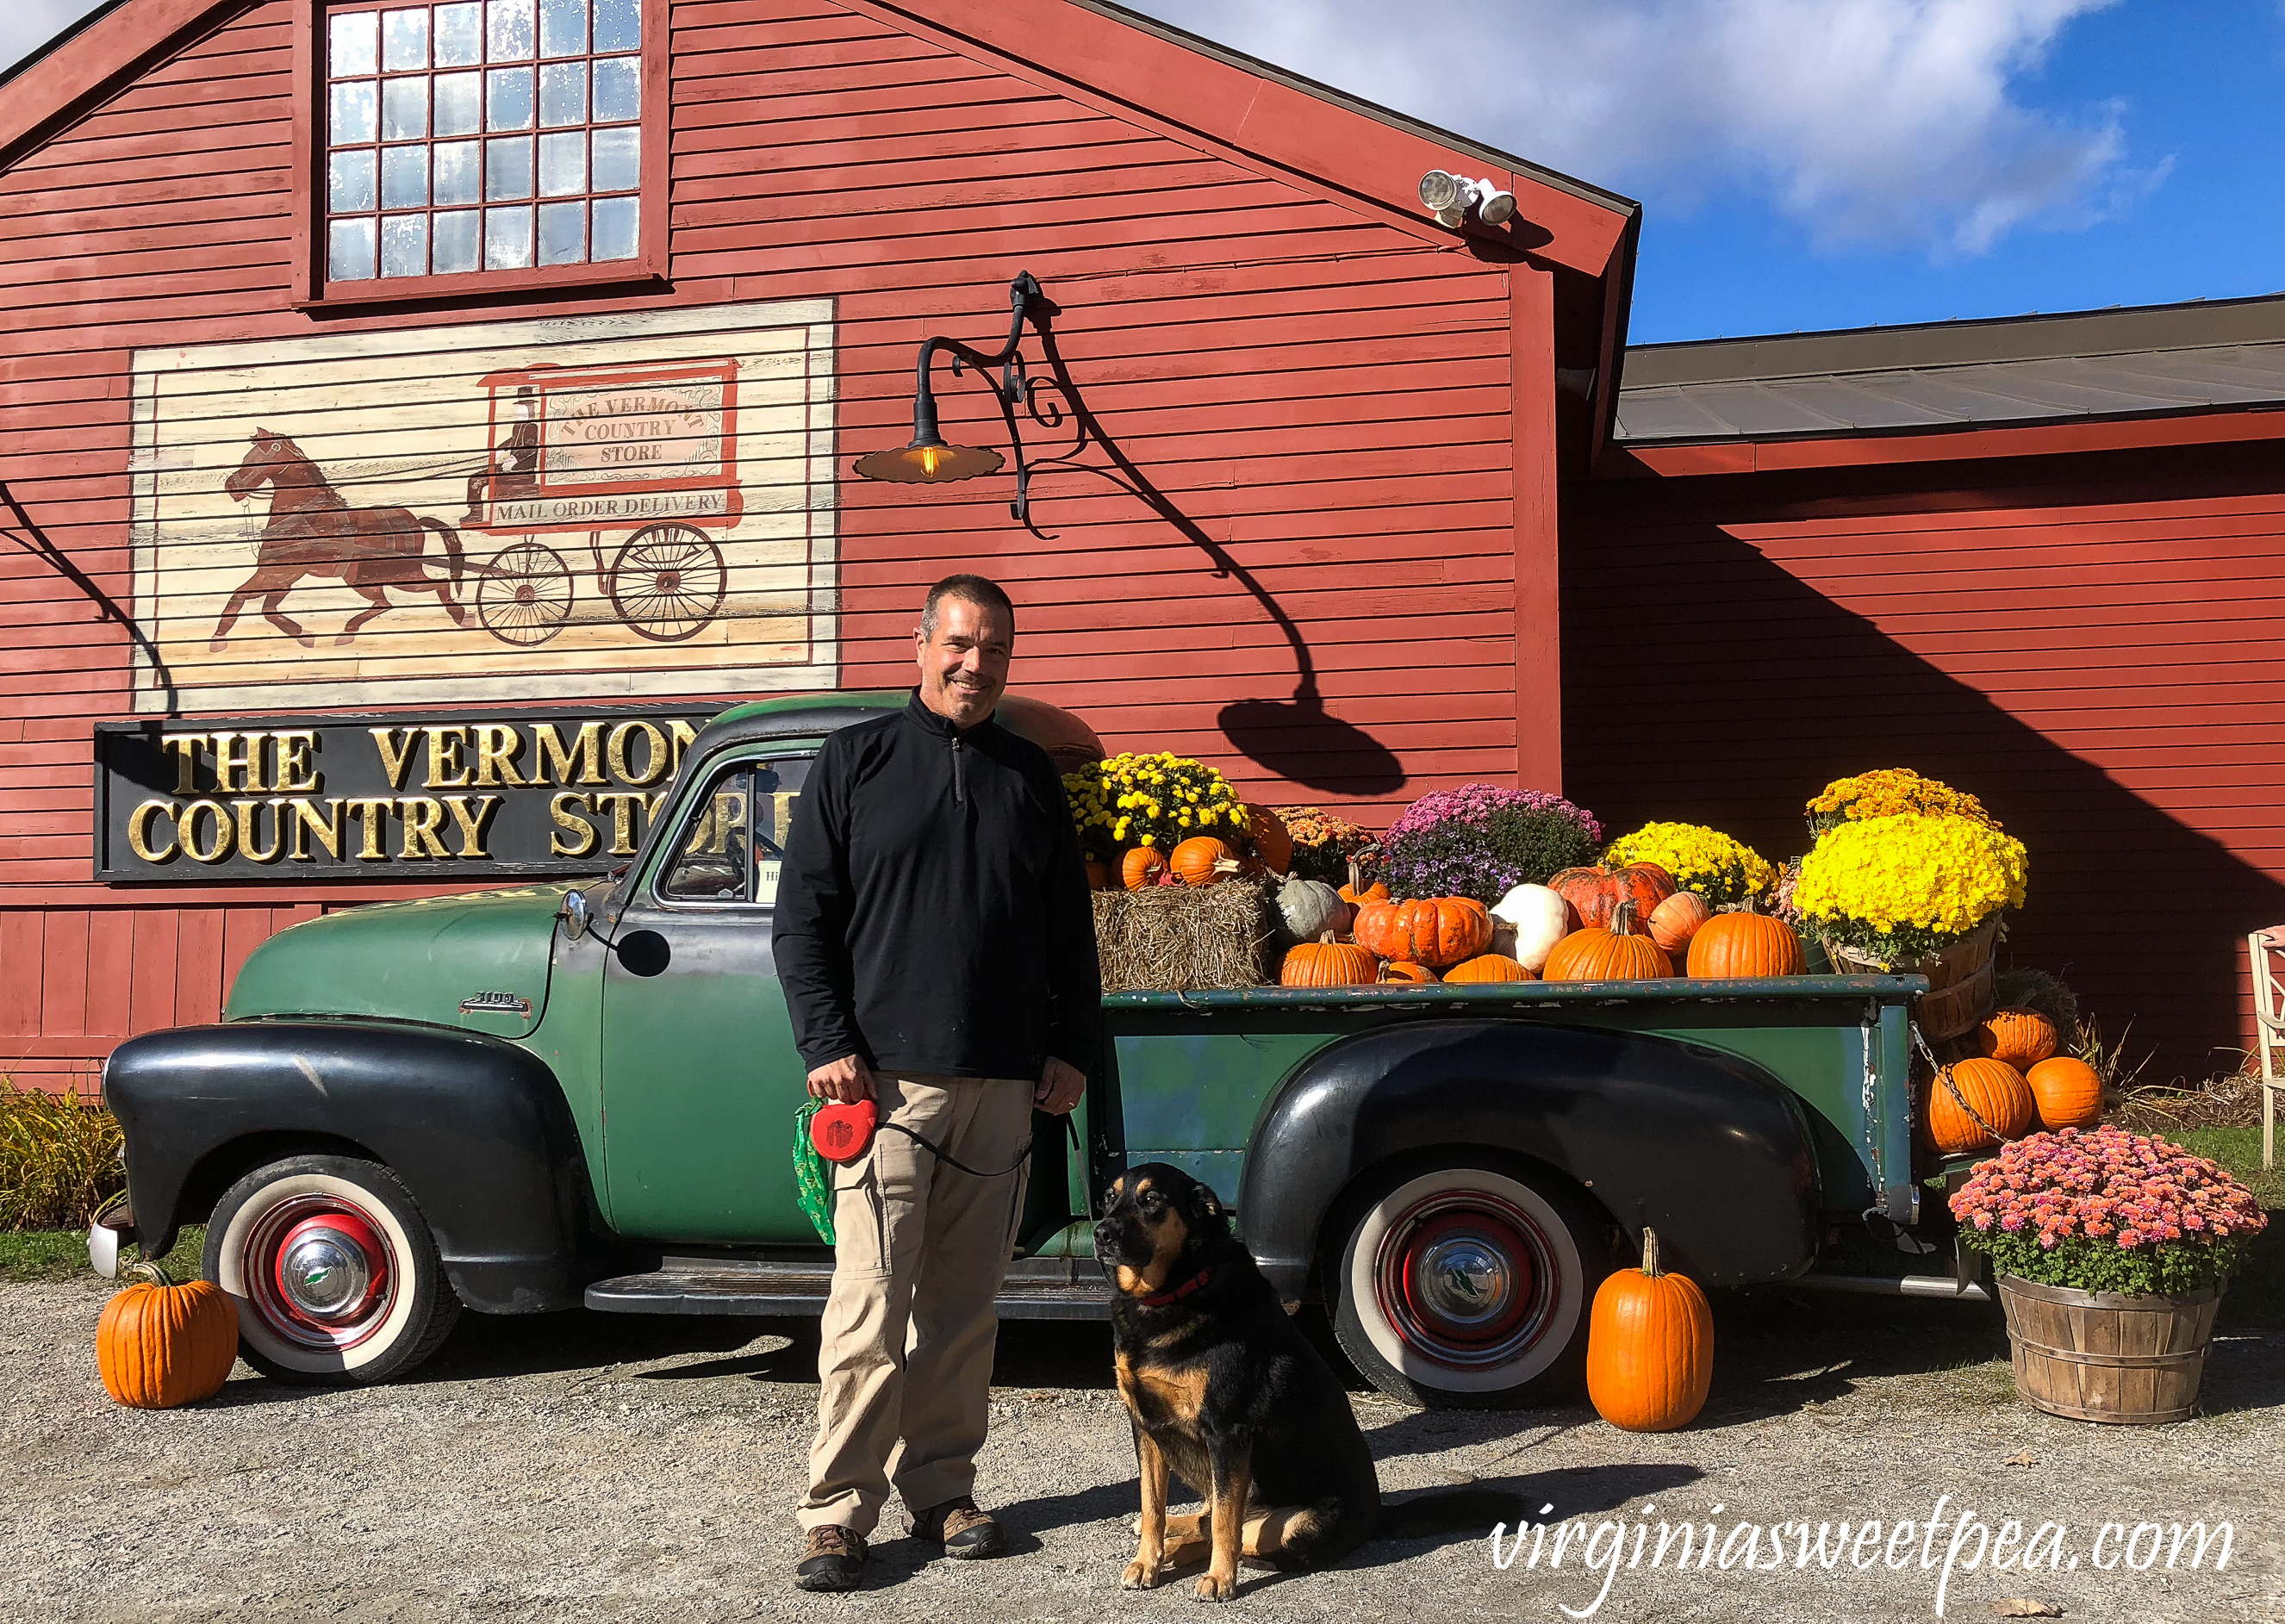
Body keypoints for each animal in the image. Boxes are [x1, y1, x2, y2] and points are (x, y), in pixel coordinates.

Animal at [1087, 1160, 1371, 1608]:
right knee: (1204, 1516)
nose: (1101, 1233)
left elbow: (1224, 1522)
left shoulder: (1227, 1431)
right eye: (1109, 1197)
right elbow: (1151, 1505)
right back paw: (1173, 1533)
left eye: (1151, 1199)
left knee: (1230, 1528)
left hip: (1296, 1525)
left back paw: (1186, 1549)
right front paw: (1147, 1562)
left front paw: (1220, 1579)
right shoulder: (1145, 1425)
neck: (1171, 1294)